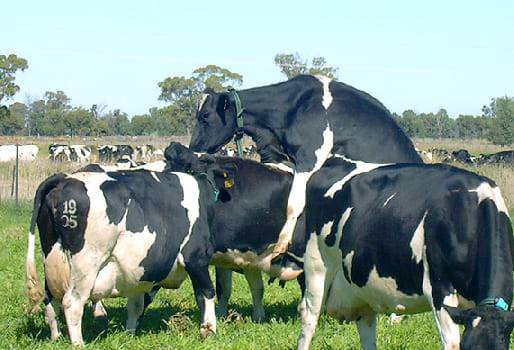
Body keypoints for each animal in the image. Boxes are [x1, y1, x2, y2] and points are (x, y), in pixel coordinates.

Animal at [188, 74, 420, 260]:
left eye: (205, 116)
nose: (193, 148)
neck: (292, 107)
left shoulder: (308, 159)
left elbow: (294, 203)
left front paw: (281, 244)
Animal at [294, 157, 510, 350]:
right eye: (468, 347)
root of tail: (336, 161)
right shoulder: (438, 288)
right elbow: (452, 344)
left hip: (362, 287)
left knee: (366, 326)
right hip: (316, 269)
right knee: (309, 318)